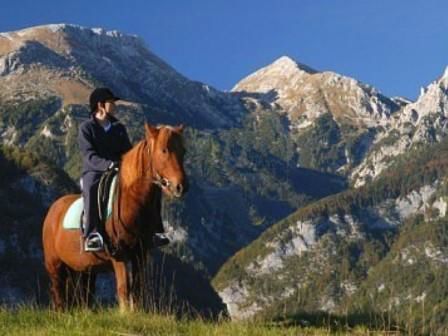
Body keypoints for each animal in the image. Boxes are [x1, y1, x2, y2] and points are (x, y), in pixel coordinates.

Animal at [42, 122, 187, 312]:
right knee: (58, 295)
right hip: (55, 266)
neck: (131, 201)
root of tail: (53, 210)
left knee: (84, 295)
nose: (181, 186)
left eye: (183, 151)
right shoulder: (119, 255)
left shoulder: (140, 253)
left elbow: (137, 288)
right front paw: (125, 314)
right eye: (164, 150)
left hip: (84, 269)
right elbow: (124, 288)